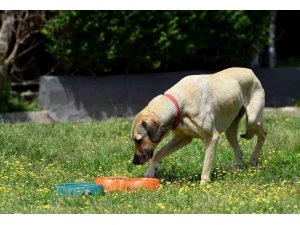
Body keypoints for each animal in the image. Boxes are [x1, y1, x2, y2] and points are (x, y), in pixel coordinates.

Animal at [130, 67, 266, 183]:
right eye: (134, 141)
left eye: (139, 140)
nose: (134, 161)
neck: (179, 103)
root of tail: (249, 70)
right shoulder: (183, 138)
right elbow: (158, 154)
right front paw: (150, 171)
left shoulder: (212, 138)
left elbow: (207, 164)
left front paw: (204, 184)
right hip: (230, 130)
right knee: (239, 151)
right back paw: (238, 169)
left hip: (253, 120)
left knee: (263, 134)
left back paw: (254, 157)